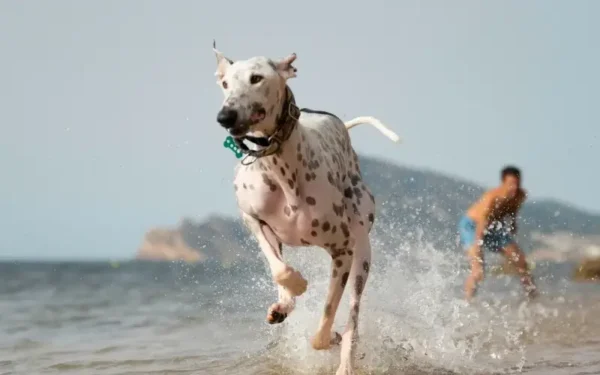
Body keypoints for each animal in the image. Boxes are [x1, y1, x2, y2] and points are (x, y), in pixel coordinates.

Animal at [213, 42, 400, 375]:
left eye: (256, 78)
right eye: (224, 83)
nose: (225, 115)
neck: (279, 166)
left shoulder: (343, 250)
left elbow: (325, 324)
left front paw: (331, 336)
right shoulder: (252, 219)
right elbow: (280, 270)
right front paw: (295, 288)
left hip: (362, 253)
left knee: (353, 317)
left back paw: (345, 360)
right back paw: (284, 305)